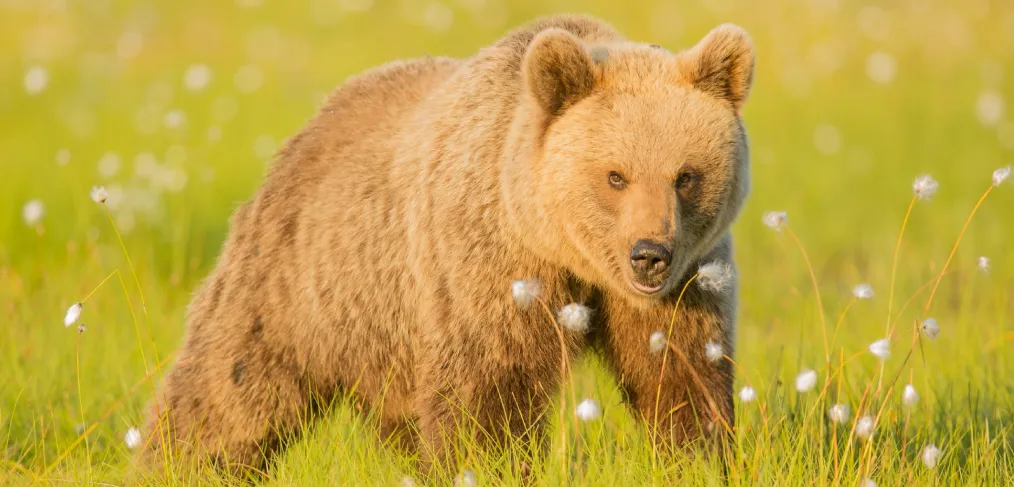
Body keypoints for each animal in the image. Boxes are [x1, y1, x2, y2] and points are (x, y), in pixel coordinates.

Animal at [138, 13, 750, 476]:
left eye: (686, 175)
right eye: (615, 176)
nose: (649, 255)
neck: (562, 249)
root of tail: (313, 123)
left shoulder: (687, 283)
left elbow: (680, 373)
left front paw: (697, 458)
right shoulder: (486, 265)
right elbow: (489, 391)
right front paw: (494, 466)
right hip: (299, 279)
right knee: (230, 389)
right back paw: (175, 463)